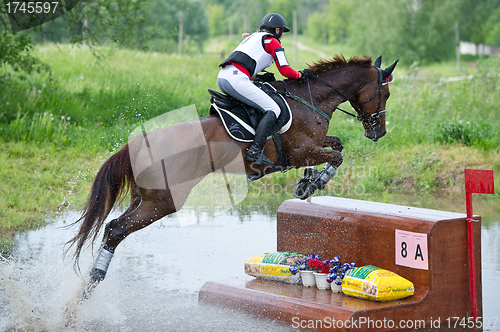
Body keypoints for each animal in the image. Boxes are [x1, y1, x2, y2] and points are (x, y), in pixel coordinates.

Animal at [66, 54, 398, 298]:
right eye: (385, 93)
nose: (379, 132)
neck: (312, 99)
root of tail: (137, 142)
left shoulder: (313, 146)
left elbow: (337, 146)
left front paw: (307, 183)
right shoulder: (302, 150)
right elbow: (337, 156)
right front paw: (313, 183)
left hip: (144, 197)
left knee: (113, 227)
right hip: (162, 202)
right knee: (115, 229)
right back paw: (93, 282)